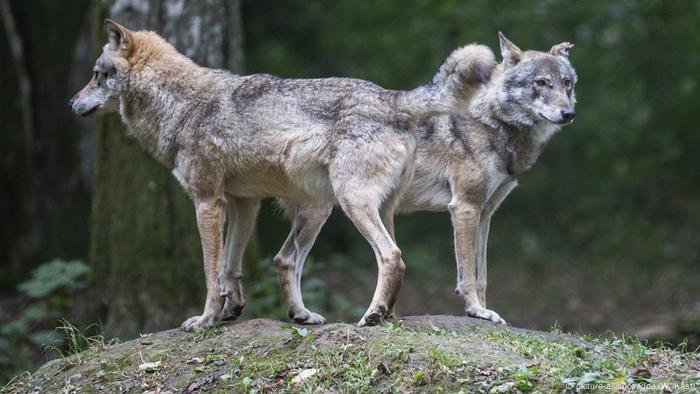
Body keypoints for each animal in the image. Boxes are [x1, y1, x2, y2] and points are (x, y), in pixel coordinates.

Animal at [69, 19, 498, 330]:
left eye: (95, 75)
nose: (72, 103)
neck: (181, 105)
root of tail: (394, 97)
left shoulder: (207, 202)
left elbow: (209, 273)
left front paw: (205, 320)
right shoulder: (244, 204)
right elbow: (229, 267)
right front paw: (230, 311)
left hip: (347, 203)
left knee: (390, 256)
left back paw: (371, 315)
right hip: (346, 209)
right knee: (293, 259)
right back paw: (324, 315)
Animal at [276, 33, 576, 324]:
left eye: (567, 83)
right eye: (541, 83)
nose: (569, 114)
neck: (491, 123)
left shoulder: (486, 212)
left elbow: (482, 275)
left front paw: (485, 311)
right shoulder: (464, 207)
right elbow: (468, 273)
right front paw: (476, 310)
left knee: (283, 259)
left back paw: (306, 315)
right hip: (327, 211)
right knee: (290, 259)